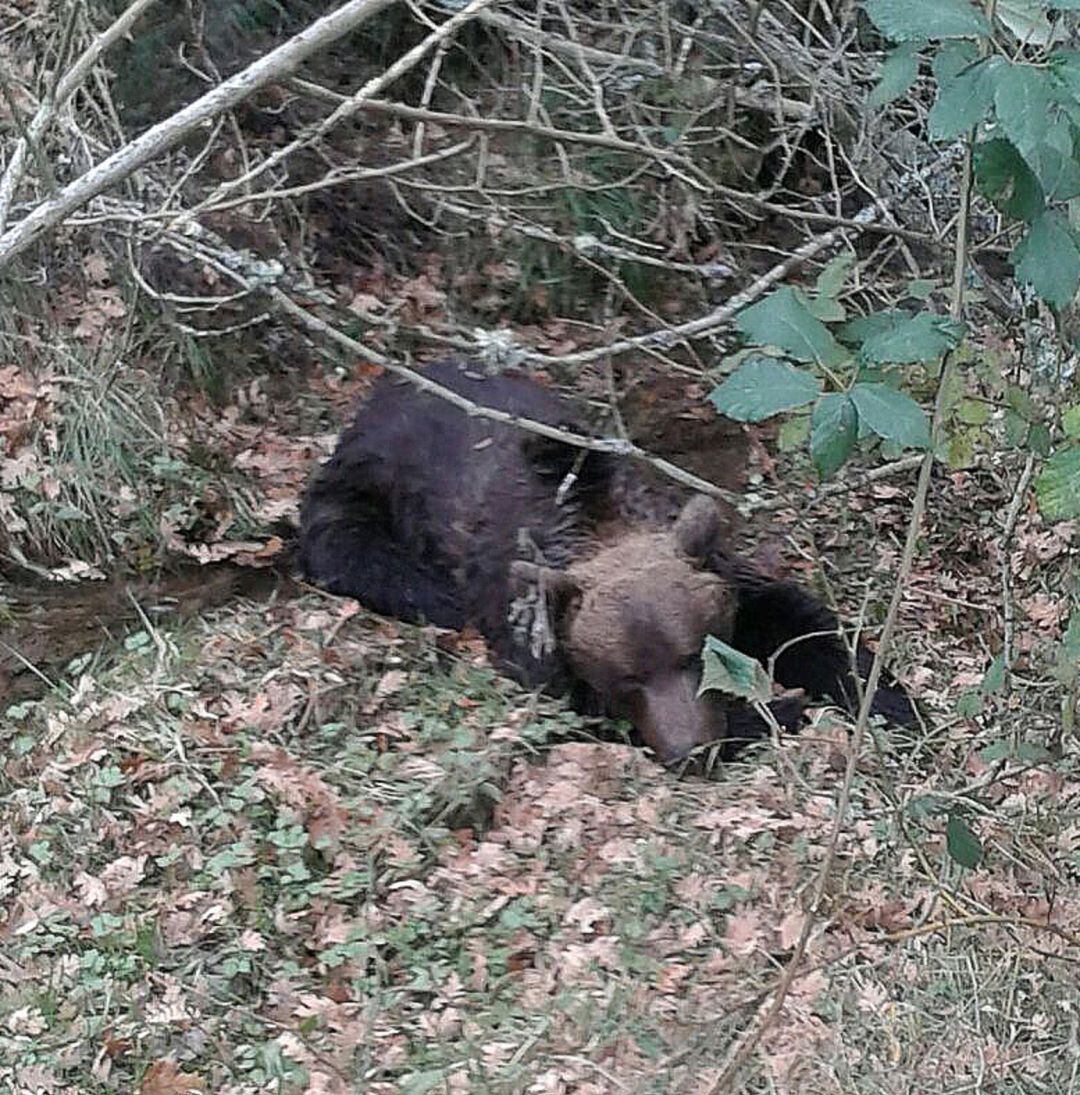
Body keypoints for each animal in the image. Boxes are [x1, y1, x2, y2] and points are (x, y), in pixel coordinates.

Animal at [297, 359, 915, 762]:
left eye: (695, 654)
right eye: (627, 678)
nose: (691, 750)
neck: (598, 520)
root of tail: (385, 386)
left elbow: (797, 624)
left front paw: (887, 699)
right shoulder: (529, 619)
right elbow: (578, 703)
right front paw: (778, 710)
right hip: (370, 485)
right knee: (358, 552)